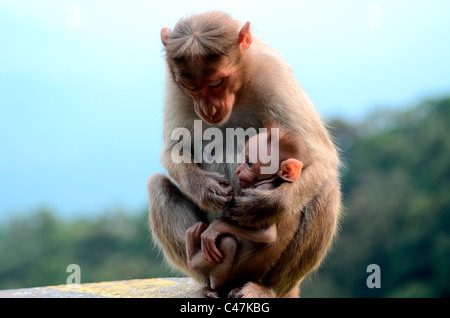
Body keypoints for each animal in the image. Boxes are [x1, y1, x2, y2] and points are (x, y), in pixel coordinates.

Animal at [185, 125, 312, 298]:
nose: (238, 170)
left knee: (227, 243)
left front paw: (217, 225)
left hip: (226, 279)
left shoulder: (264, 189)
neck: (275, 181)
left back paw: (193, 249)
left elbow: (267, 234)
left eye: (249, 163)